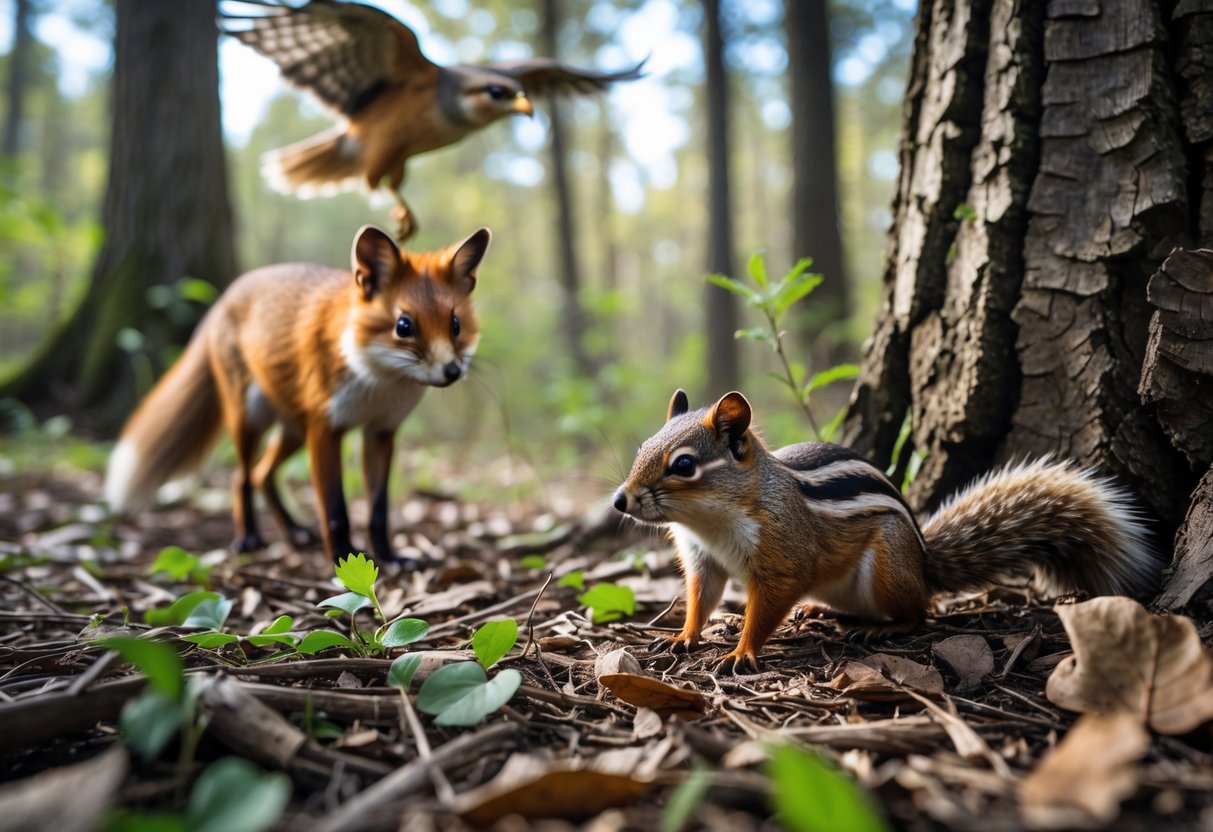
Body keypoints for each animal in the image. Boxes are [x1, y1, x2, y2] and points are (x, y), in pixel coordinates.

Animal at [104, 224, 491, 566]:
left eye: (455, 325)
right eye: (404, 326)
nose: (452, 371)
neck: (378, 386)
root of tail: (228, 292)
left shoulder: (380, 432)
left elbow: (378, 512)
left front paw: (390, 559)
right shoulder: (325, 429)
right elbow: (335, 511)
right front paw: (342, 561)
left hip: (292, 431)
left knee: (261, 474)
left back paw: (293, 532)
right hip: (251, 419)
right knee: (241, 477)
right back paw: (248, 538)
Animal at [612, 389, 1158, 672]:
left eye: (684, 465)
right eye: (641, 446)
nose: (621, 500)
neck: (711, 522)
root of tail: (924, 565)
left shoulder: (783, 556)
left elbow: (766, 607)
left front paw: (742, 650)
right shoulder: (703, 561)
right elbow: (700, 599)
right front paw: (683, 637)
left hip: (888, 569)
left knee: (919, 612)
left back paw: (884, 628)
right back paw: (819, 611)